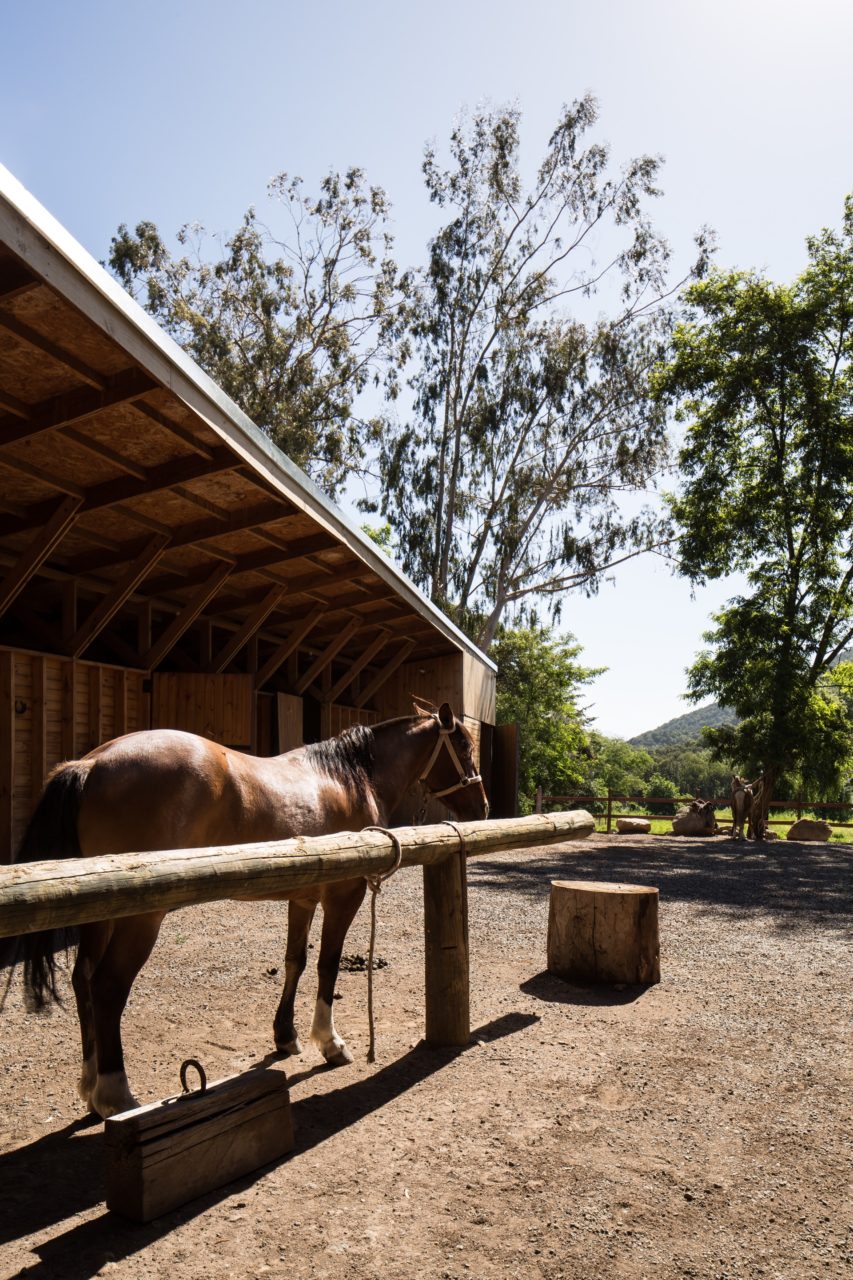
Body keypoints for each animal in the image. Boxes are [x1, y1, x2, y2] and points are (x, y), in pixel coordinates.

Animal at [1, 706, 484, 1116]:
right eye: (463, 747)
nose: (482, 805)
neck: (347, 777)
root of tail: (91, 765)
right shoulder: (343, 895)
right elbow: (327, 965)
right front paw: (330, 1043)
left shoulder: (303, 897)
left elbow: (295, 962)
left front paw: (286, 1035)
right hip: (140, 918)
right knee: (107, 986)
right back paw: (116, 1095)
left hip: (101, 914)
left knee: (82, 979)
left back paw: (89, 1087)